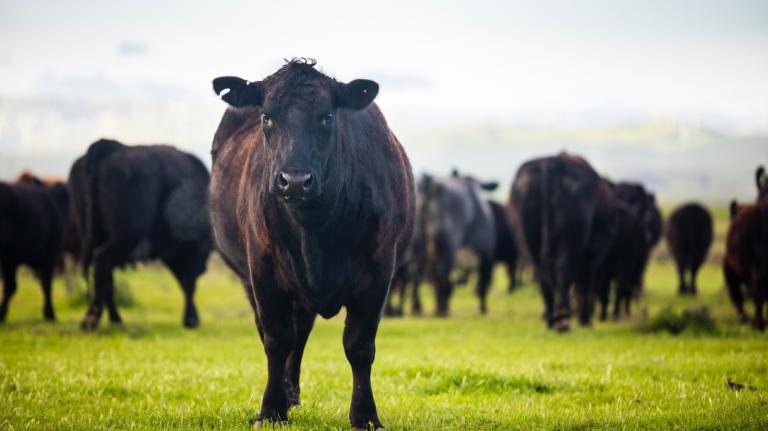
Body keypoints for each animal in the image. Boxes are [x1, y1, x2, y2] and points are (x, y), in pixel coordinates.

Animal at [69, 139, 212, 330]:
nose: (205, 268)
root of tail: (108, 146)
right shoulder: (189, 253)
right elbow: (189, 283)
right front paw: (191, 319)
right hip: (125, 238)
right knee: (102, 264)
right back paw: (92, 319)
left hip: (94, 235)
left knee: (105, 275)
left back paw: (115, 318)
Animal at [209, 59, 414, 429]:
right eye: (266, 116)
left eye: (327, 116)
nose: (295, 181)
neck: (314, 232)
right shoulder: (262, 272)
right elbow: (276, 340)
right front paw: (271, 410)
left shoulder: (379, 272)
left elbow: (359, 346)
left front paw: (365, 415)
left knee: (301, 331)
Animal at [420, 173, 497, 316]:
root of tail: (436, 188)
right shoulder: (487, 255)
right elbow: (482, 285)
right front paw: (483, 309)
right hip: (448, 249)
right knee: (443, 277)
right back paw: (443, 310)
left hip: (431, 250)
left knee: (435, 277)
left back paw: (439, 308)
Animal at [509, 152, 617, 331]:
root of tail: (551, 162)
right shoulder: (594, 255)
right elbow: (585, 284)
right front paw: (585, 318)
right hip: (571, 242)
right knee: (564, 270)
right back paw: (564, 320)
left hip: (530, 242)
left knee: (543, 275)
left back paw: (552, 318)